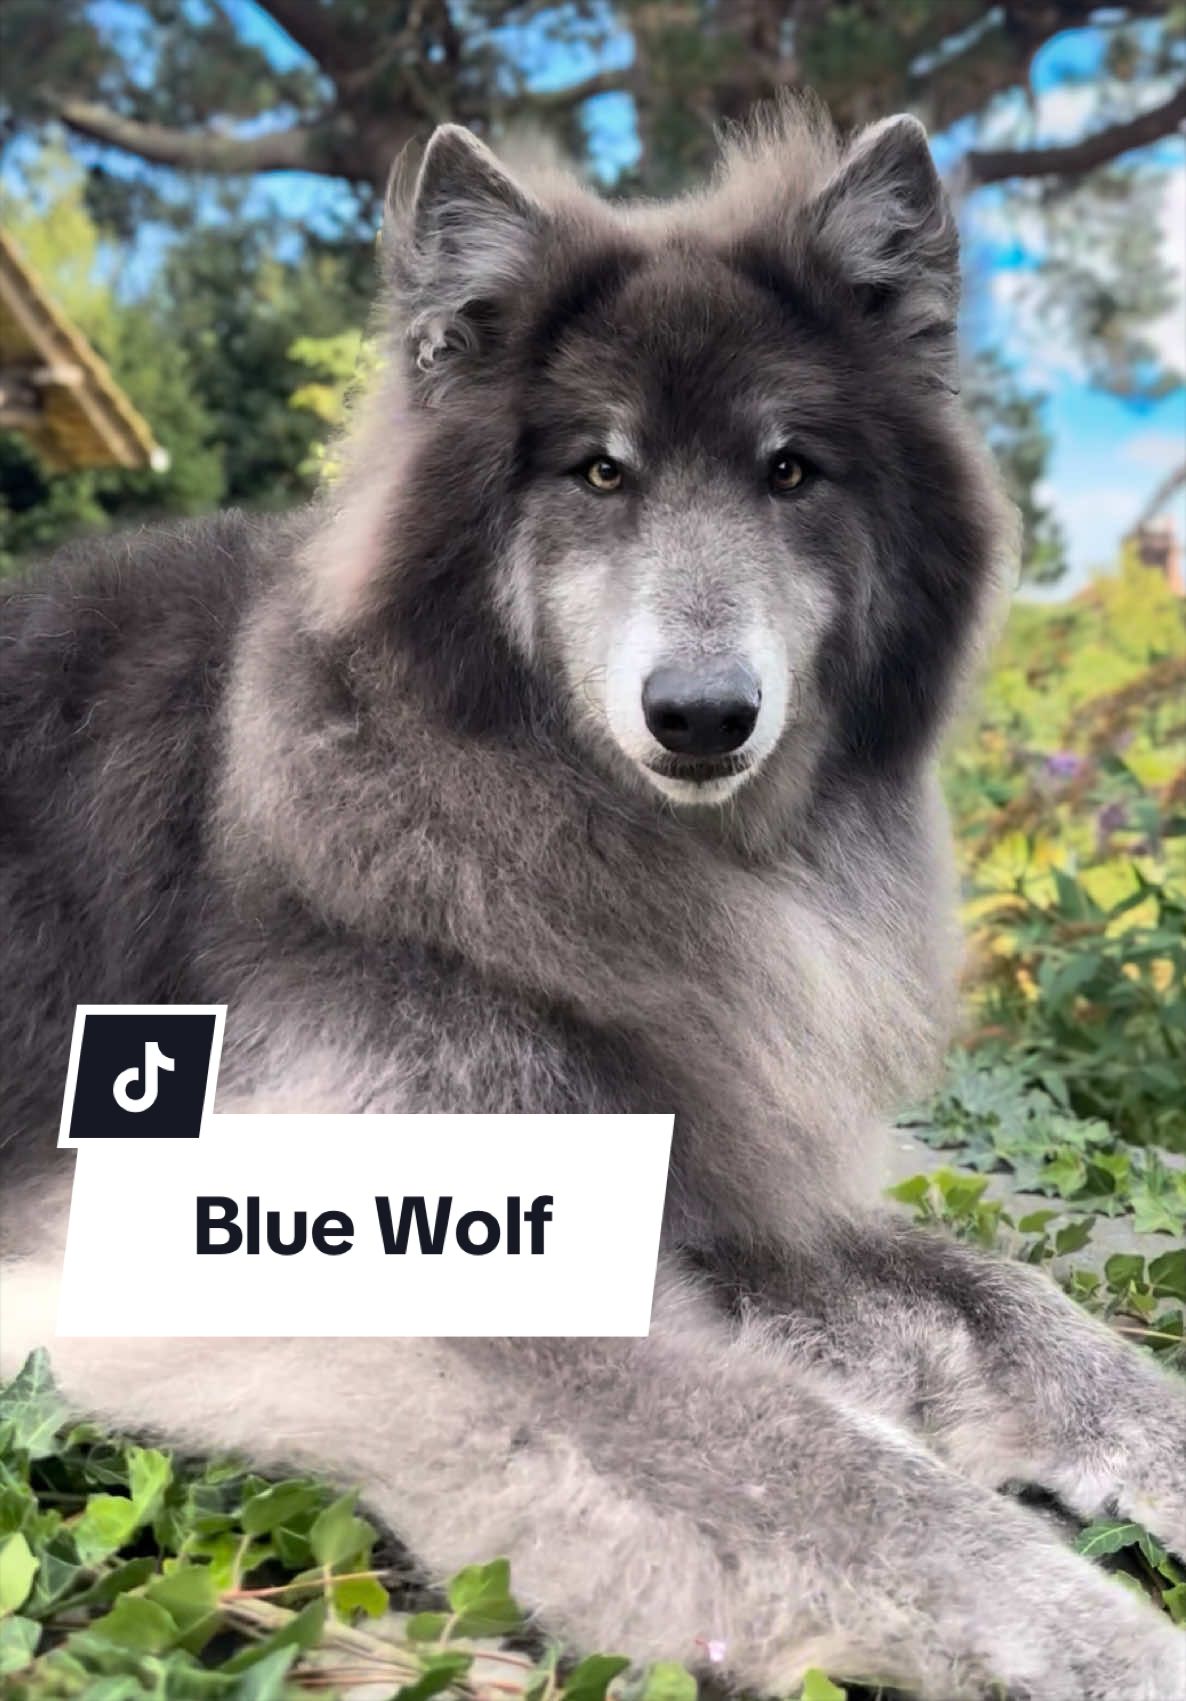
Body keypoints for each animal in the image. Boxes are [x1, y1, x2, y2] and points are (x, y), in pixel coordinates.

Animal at [1, 102, 1184, 1700]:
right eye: (600, 473)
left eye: (789, 472)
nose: (701, 716)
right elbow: (867, 1490)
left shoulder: (700, 1143)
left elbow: (1002, 1300)